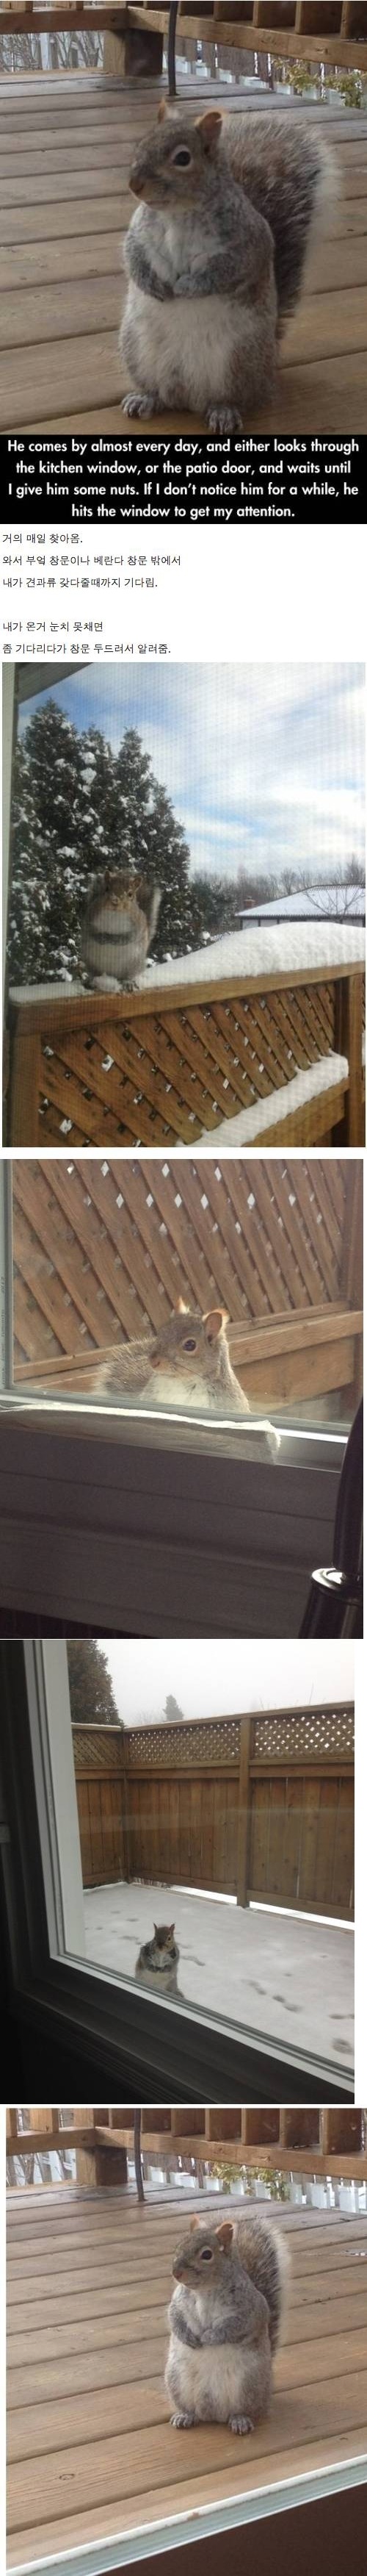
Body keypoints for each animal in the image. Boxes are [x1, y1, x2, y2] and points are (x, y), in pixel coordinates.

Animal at [79, 865, 161, 983]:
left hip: (133, 964)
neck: (115, 914)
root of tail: (113, 975)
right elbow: (90, 931)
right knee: (96, 974)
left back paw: (128, 982)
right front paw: (101, 938)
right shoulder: (90, 917)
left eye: (130, 894)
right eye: (107, 889)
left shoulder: (138, 925)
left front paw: (114, 940)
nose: (115, 900)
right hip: (92, 963)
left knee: (128, 976)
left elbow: (129, 937)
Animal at [120, 103, 336, 430]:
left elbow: (227, 270)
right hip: (137, 349)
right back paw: (144, 398)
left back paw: (223, 412)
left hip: (237, 361)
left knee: (234, 398)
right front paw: (154, 285)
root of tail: (187, 397)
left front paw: (188, 286)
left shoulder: (247, 242)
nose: (135, 185)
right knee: (158, 391)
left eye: (182, 158)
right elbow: (134, 256)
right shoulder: (138, 234)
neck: (177, 214)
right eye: (142, 144)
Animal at [165, 2215, 290, 2431]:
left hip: (249, 2385)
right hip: (176, 2381)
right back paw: (184, 2416)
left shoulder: (248, 2311)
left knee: (245, 2410)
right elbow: (175, 2318)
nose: (176, 2273)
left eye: (207, 2254)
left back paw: (240, 2420)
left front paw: (210, 2337)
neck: (205, 2291)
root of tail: (213, 2415)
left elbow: (233, 2327)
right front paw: (188, 2337)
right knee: (190, 2409)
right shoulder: (178, 2304)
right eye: (179, 2245)